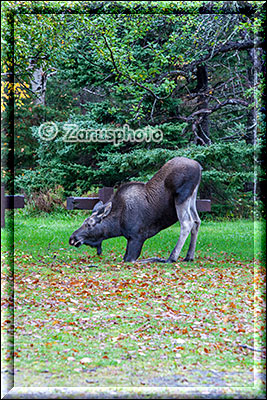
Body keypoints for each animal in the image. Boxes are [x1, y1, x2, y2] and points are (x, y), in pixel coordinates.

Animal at [70, 158, 202, 264]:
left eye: (89, 224)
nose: (72, 238)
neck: (117, 226)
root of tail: (199, 167)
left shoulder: (137, 237)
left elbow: (131, 260)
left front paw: (158, 259)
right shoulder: (130, 239)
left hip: (181, 197)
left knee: (187, 223)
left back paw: (172, 257)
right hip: (192, 197)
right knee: (196, 221)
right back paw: (189, 256)